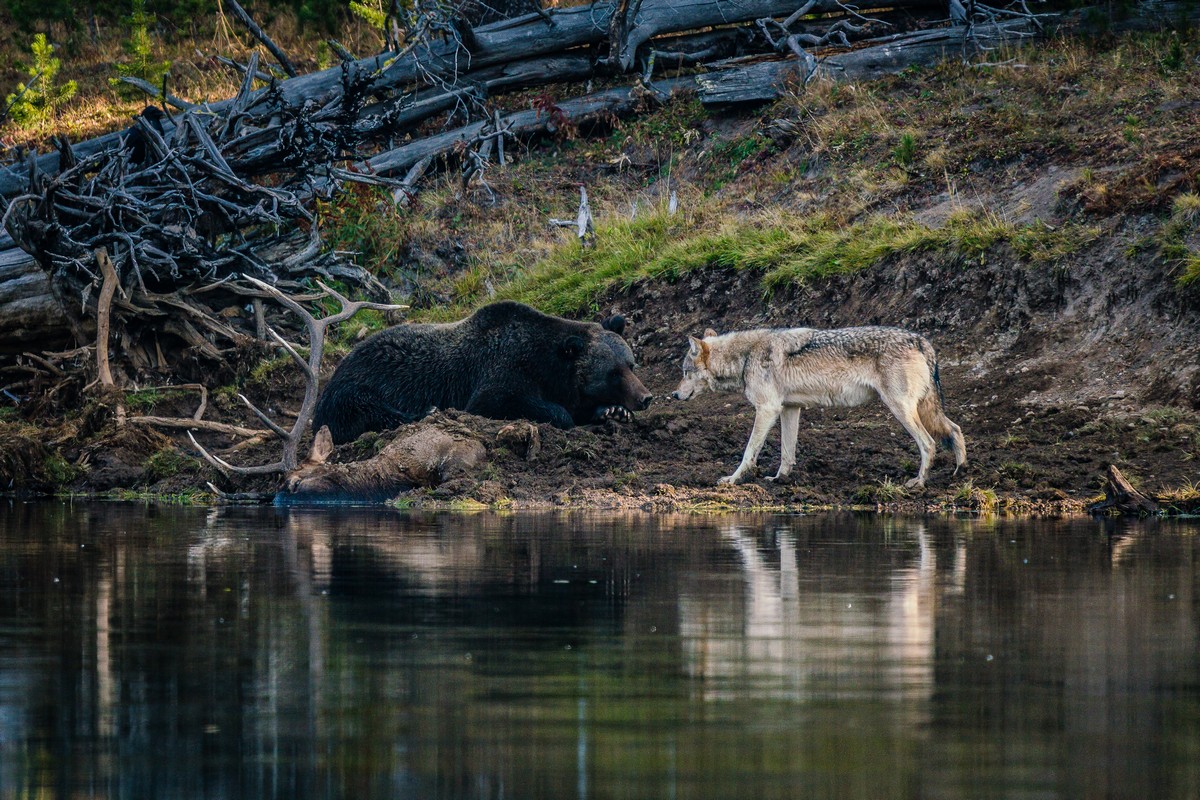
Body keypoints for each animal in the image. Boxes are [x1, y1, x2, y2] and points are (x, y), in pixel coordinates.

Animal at [309, 299, 648, 443]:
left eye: (630, 364)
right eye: (613, 372)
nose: (646, 397)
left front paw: (613, 411)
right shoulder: (500, 369)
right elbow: (499, 400)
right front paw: (563, 415)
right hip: (356, 386)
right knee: (368, 409)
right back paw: (427, 411)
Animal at [672, 326, 969, 489]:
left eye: (685, 372)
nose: (674, 394)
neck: (746, 357)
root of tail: (921, 340)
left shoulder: (767, 409)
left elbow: (749, 452)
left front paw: (733, 480)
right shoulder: (789, 409)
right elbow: (787, 453)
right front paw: (780, 480)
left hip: (900, 409)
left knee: (929, 443)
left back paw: (919, 483)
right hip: (921, 409)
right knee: (955, 429)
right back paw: (960, 473)